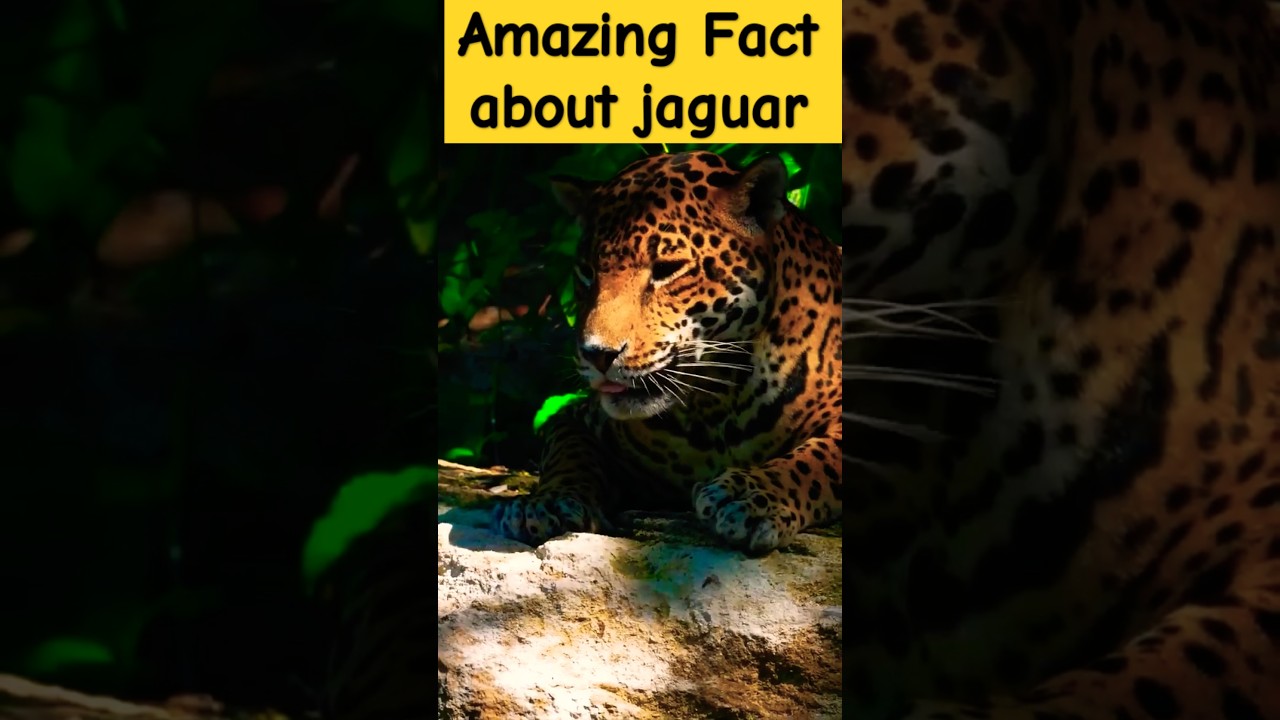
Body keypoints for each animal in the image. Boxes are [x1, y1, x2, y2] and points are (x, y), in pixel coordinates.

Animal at [492, 151, 842, 556]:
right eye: (586, 272)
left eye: (667, 269)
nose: (596, 354)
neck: (715, 405)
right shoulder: (578, 416)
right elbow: (568, 452)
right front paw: (547, 501)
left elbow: (817, 460)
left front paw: (750, 495)